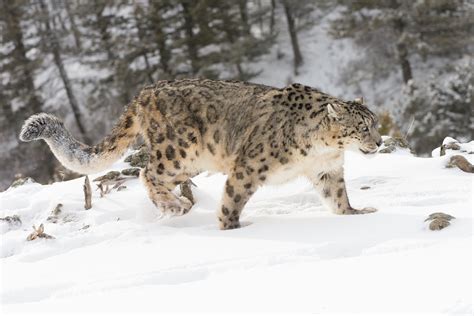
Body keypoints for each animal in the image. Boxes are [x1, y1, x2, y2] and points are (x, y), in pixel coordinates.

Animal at [20, 79, 382, 230]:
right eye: (362, 127)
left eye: (376, 123)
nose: (378, 142)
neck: (323, 148)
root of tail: (144, 92)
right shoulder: (249, 166)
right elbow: (233, 198)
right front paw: (230, 226)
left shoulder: (327, 170)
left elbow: (337, 195)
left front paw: (355, 213)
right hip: (178, 150)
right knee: (147, 172)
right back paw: (175, 206)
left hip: (189, 161)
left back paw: (176, 203)